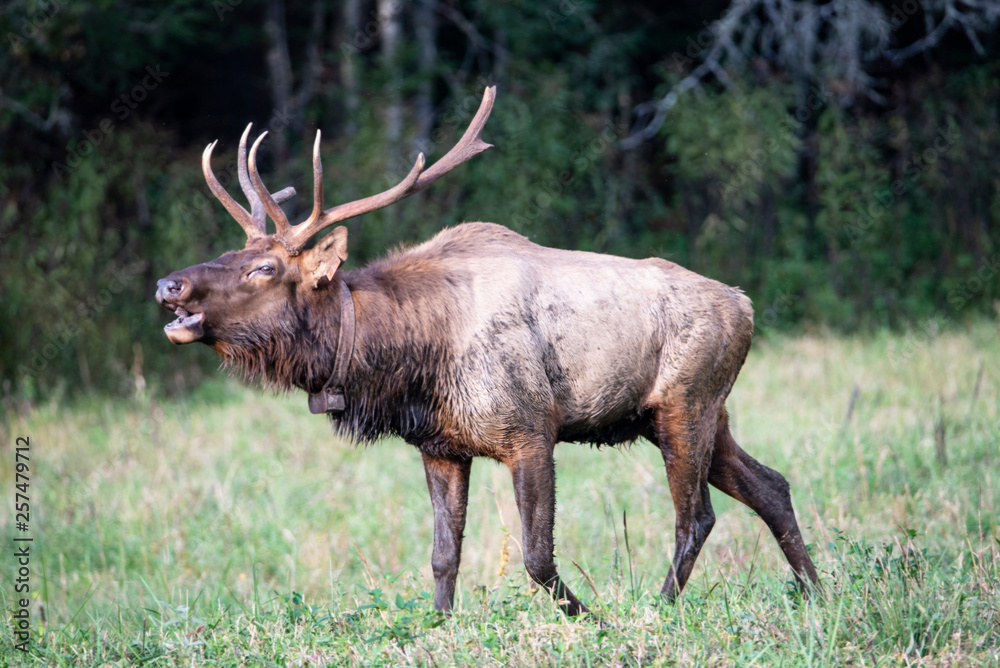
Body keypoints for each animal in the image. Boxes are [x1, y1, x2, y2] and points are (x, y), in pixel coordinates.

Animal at [154, 87, 812, 616]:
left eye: (264, 268)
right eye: (231, 253)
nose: (168, 284)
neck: (408, 360)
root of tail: (745, 305)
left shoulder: (531, 430)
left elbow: (537, 558)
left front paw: (596, 619)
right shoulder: (441, 445)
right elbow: (444, 556)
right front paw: (439, 626)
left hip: (685, 403)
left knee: (696, 515)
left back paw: (661, 607)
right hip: (690, 414)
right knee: (772, 486)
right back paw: (815, 591)